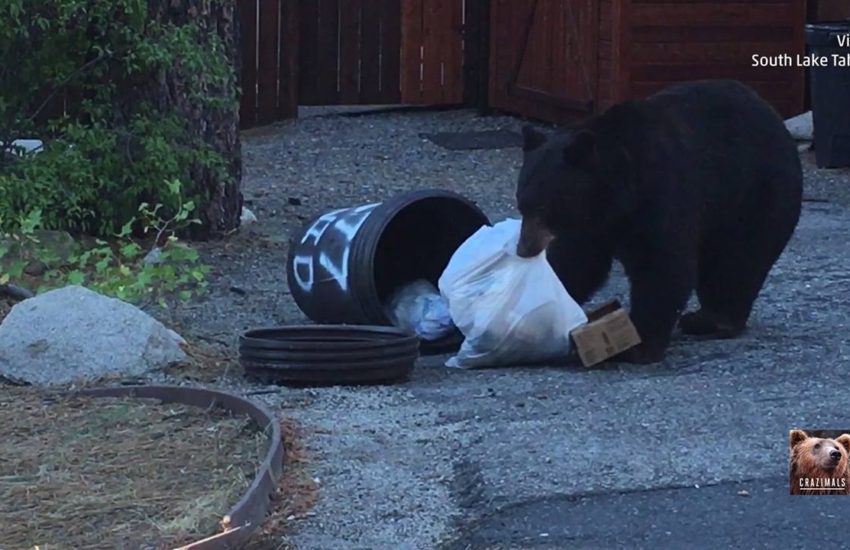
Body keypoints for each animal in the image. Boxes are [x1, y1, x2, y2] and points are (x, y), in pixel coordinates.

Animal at [515, 79, 803, 364]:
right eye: (521, 203)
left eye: (544, 206)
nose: (524, 248)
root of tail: (774, 115)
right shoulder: (593, 223)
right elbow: (579, 260)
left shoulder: (661, 191)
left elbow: (661, 263)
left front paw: (639, 345)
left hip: (753, 194)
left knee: (738, 259)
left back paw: (714, 319)